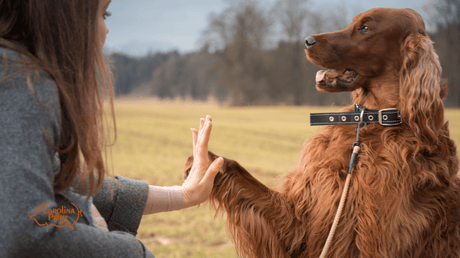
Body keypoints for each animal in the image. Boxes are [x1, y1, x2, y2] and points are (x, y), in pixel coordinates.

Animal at [181, 8, 458, 258]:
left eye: (365, 28)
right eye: (353, 22)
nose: (307, 40)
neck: (369, 123)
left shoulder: (376, 240)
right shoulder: (298, 222)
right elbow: (243, 177)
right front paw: (204, 163)